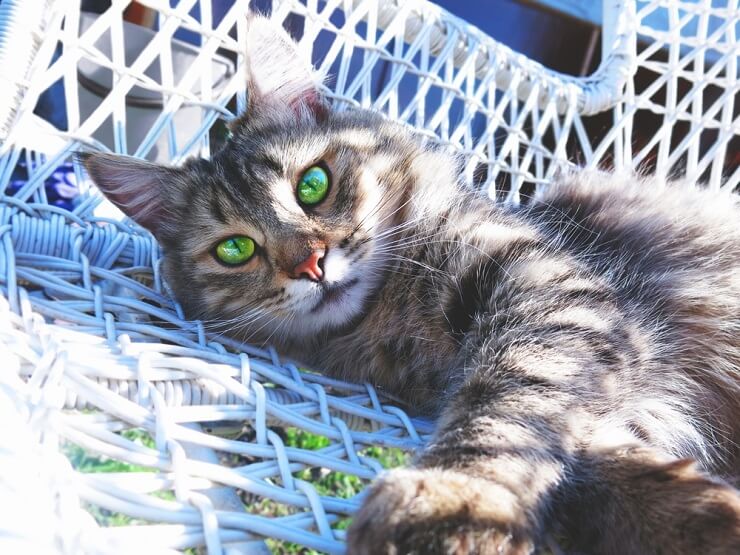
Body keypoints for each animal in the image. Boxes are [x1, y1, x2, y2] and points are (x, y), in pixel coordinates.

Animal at [82, 13, 740, 555]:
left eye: (313, 185)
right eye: (235, 249)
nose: (312, 264)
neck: (388, 314)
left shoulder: (555, 297)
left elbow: (509, 410)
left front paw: (455, 499)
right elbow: (587, 462)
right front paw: (700, 515)